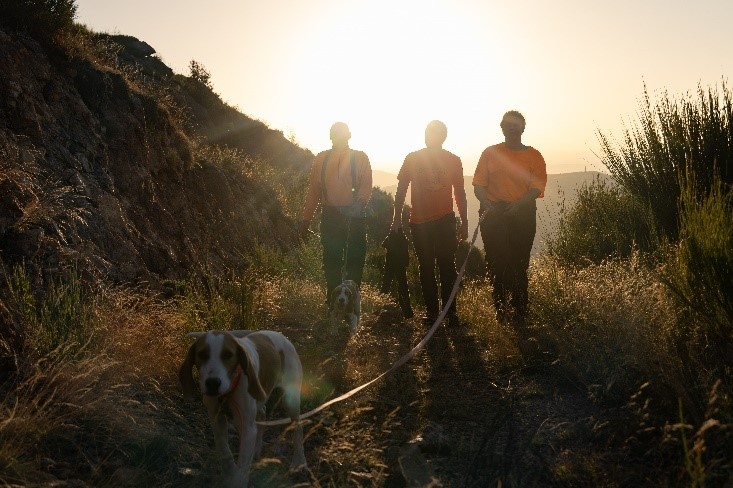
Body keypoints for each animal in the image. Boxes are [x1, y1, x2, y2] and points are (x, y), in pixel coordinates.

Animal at [180, 330, 306, 486]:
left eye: (228, 355)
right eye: (202, 354)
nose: (213, 383)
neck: (228, 392)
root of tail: (281, 336)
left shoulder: (247, 427)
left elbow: (243, 464)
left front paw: (237, 480)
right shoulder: (217, 419)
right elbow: (224, 451)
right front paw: (230, 474)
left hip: (290, 399)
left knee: (298, 428)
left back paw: (299, 461)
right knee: (262, 415)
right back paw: (257, 448)